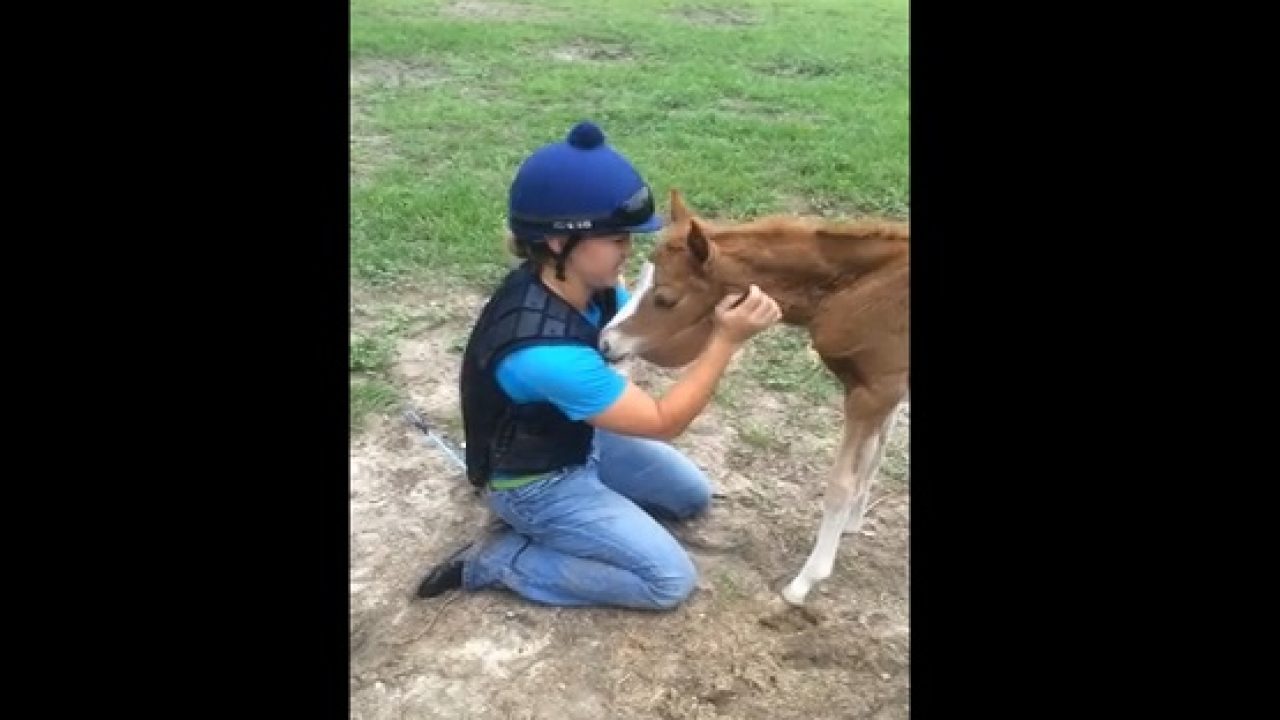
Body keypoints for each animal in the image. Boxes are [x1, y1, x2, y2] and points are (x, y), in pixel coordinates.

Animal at [601, 188, 911, 602]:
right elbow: (873, 458)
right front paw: (852, 525)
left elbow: (842, 482)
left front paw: (804, 582)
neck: (862, 288)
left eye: (666, 299)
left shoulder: (875, 392)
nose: (606, 342)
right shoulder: (885, 388)